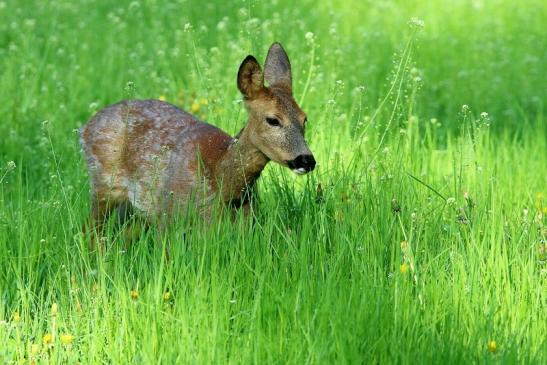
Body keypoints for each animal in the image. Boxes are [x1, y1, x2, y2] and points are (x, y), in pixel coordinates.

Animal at [79, 42, 314, 236]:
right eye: (273, 120)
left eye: (304, 118)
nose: (307, 160)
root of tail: (85, 127)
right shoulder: (168, 217)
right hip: (103, 184)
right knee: (90, 232)